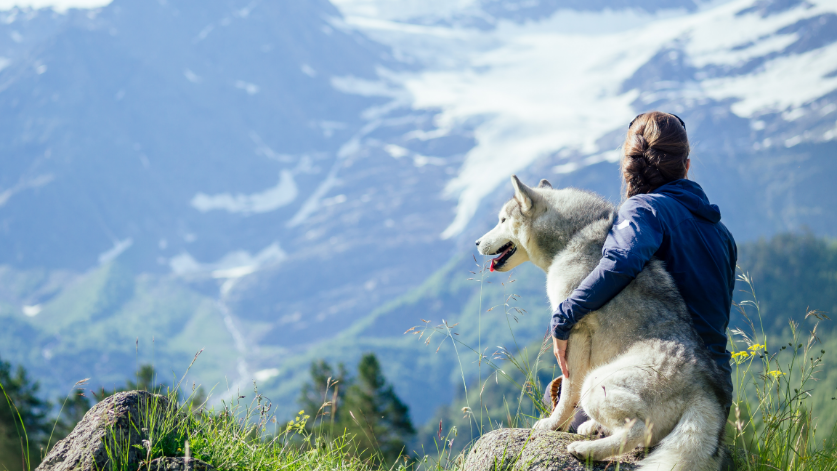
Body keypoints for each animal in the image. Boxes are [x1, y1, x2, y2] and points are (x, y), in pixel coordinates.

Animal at [476, 176, 724, 471]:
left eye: (502, 220)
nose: (476, 242)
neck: (572, 237)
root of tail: (707, 392)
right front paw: (582, 425)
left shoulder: (574, 335)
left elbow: (567, 394)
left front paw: (553, 425)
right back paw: (594, 431)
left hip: (596, 382)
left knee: (637, 430)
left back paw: (586, 451)